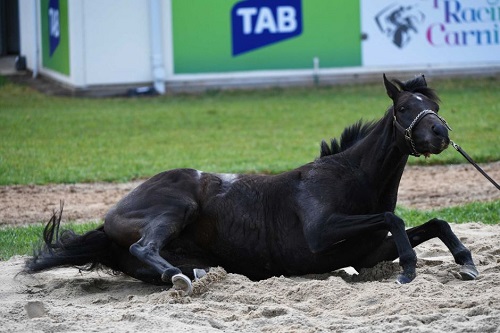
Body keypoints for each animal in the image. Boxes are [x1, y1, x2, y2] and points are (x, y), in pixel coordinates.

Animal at [25, 74, 478, 294]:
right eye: (403, 108)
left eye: (434, 105)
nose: (440, 133)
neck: (351, 176)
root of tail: (106, 223)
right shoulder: (320, 233)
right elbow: (394, 219)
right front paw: (409, 269)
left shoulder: (368, 251)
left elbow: (435, 223)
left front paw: (466, 262)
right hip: (176, 206)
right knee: (146, 246)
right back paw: (179, 279)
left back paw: (194, 275)